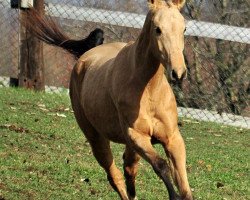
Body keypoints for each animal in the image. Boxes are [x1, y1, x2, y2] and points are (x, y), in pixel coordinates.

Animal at [69, 0, 192, 200]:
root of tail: (84, 58)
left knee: (129, 170)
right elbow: (161, 165)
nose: (179, 72)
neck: (149, 91)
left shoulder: (173, 138)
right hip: (96, 138)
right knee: (115, 176)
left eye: (184, 28)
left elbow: (184, 185)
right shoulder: (137, 136)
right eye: (158, 29)